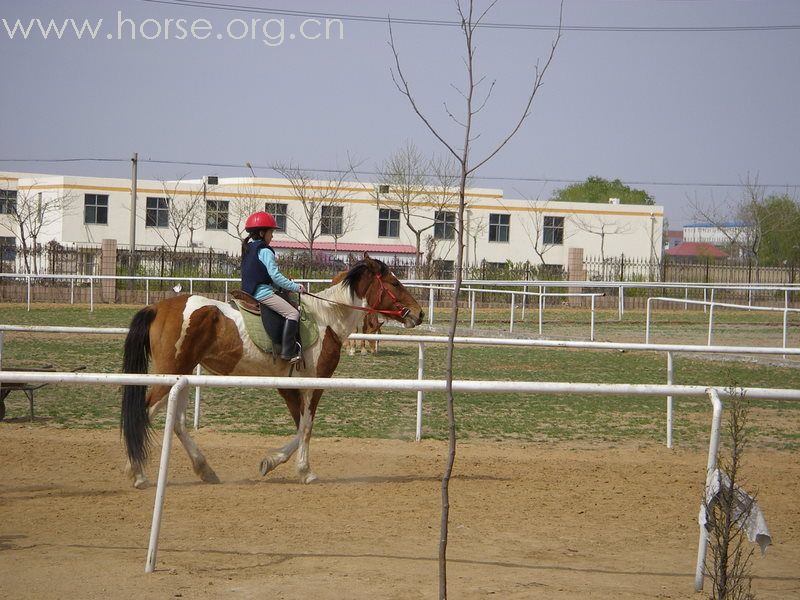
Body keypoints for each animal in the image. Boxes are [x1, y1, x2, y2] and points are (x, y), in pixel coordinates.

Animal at [119, 256, 422, 488]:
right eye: (395, 283)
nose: (418, 313)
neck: (326, 318)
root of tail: (157, 307)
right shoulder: (313, 383)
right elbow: (306, 426)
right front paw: (302, 470)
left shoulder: (288, 386)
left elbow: (301, 426)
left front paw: (275, 462)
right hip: (169, 373)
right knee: (145, 413)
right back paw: (138, 474)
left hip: (181, 375)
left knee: (178, 422)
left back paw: (204, 470)